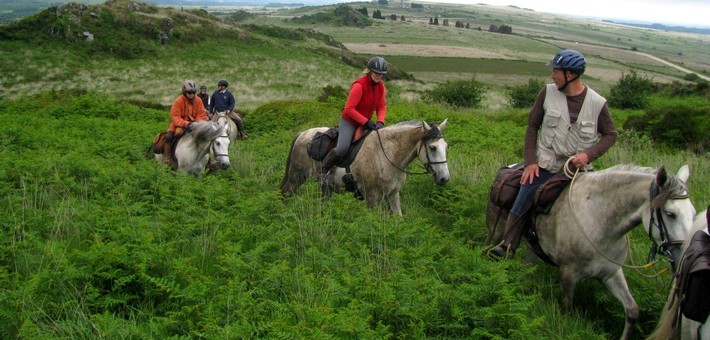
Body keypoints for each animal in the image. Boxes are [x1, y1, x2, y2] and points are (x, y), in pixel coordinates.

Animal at [280, 119, 450, 215]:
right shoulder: (372, 199)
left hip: (326, 187)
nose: (444, 178)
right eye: (433, 147)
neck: (386, 155)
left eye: (446, 146)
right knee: (286, 194)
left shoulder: (393, 195)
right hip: (296, 177)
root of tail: (302, 134)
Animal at [492, 164, 700, 338]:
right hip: (498, 231)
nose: (685, 260)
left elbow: (632, 311)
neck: (600, 220)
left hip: (532, 250)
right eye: (671, 214)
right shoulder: (568, 274)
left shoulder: (611, 273)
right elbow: (568, 311)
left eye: (693, 213)